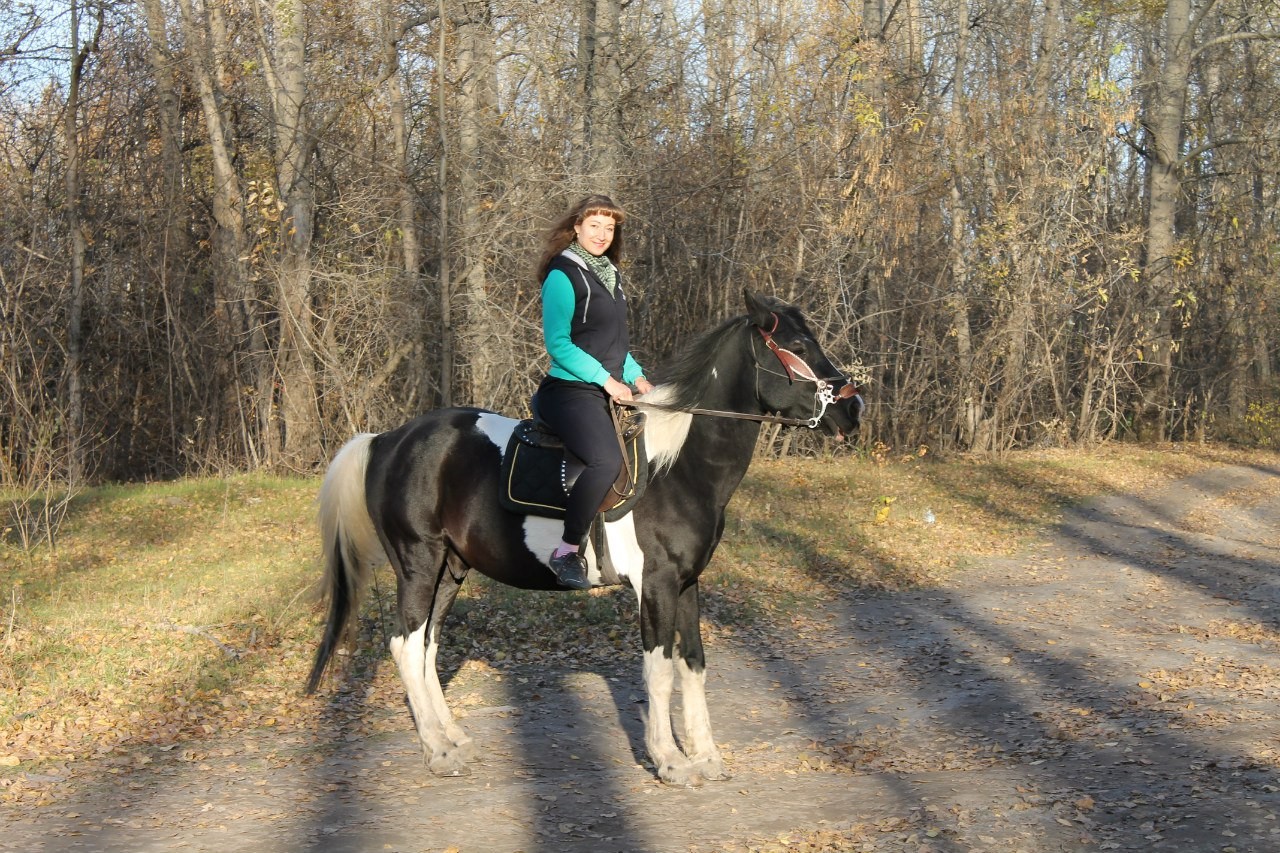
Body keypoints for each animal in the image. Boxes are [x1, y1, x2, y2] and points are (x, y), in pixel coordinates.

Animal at [304, 286, 865, 783]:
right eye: (796, 347)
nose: (852, 409)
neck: (676, 467)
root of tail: (386, 440)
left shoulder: (687, 583)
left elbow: (693, 664)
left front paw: (706, 756)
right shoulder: (657, 585)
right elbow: (659, 670)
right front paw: (670, 761)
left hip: (451, 569)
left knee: (426, 646)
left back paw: (452, 738)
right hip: (419, 564)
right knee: (404, 645)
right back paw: (437, 752)